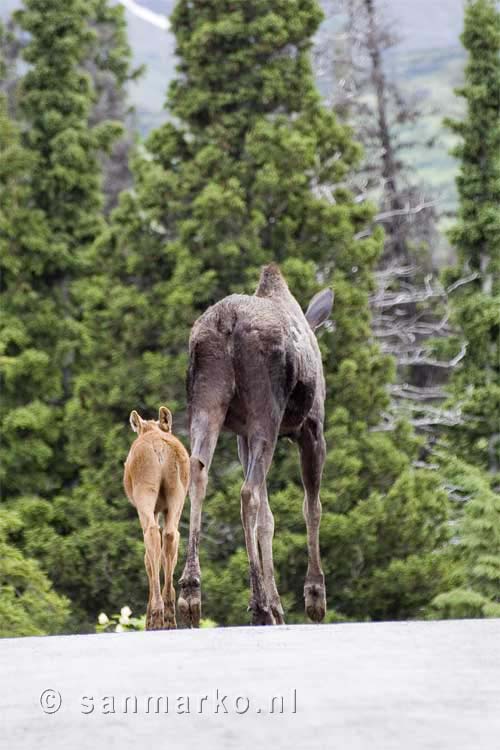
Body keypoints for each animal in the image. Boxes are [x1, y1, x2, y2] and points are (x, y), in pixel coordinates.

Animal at [123, 408, 189, 632]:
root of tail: (159, 447)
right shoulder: (163, 508)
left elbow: (148, 560)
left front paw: (148, 618)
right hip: (177, 492)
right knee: (170, 535)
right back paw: (169, 613)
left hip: (144, 491)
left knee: (152, 534)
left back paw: (157, 614)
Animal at [178, 264, 334, 628]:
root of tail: (228, 323)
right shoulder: (312, 428)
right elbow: (311, 507)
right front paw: (313, 595)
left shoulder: (242, 436)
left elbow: (268, 519)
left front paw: (278, 605)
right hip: (268, 412)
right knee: (247, 492)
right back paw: (259, 602)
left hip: (206, 402)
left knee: (197, 471)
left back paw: (191, 591)